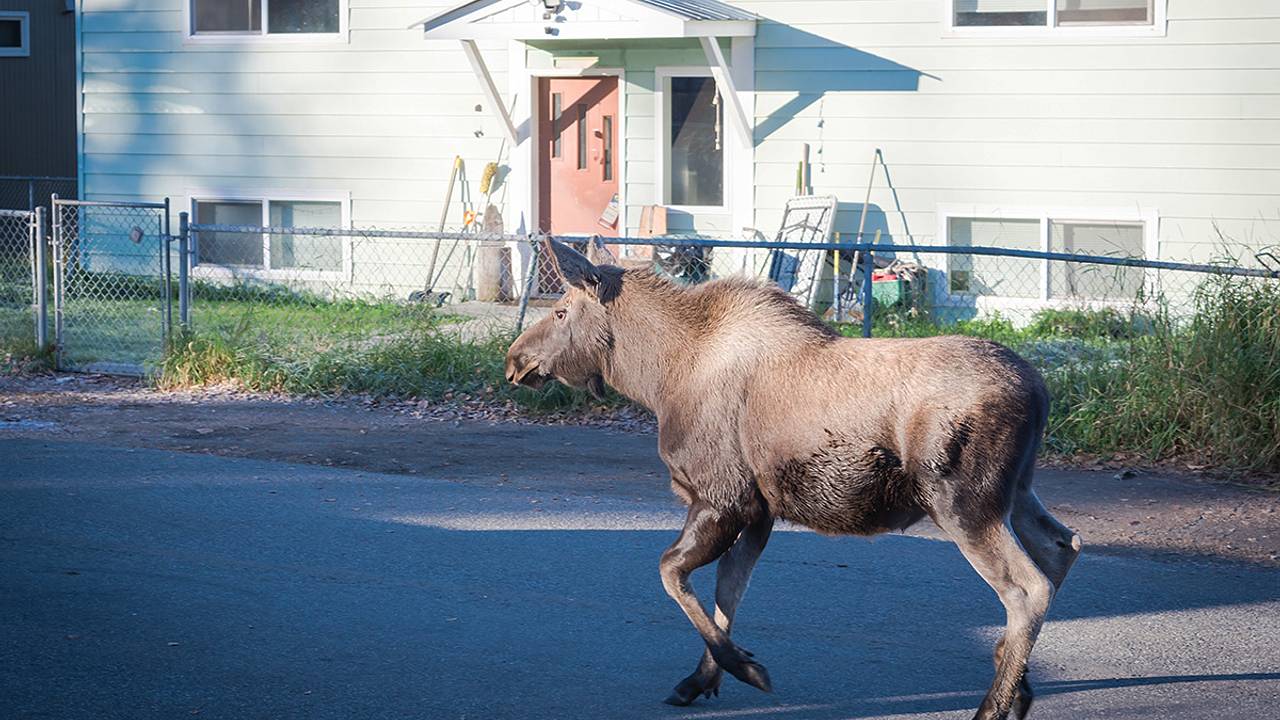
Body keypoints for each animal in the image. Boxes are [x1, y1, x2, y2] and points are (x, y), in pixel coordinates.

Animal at [504, 238, 1083, 720]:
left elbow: (672, 572)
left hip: (961, 501)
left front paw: (744, 668)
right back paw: (1018, 686)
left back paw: (993, 705)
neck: (657, 377)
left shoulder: (720, 498)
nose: (514, 359)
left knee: (1026, 588)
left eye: (561, 310)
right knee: (1061, 546)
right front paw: (702, 679)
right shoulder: (758, 512)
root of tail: (1040, 391)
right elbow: (727, 592)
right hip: (1015, 491)